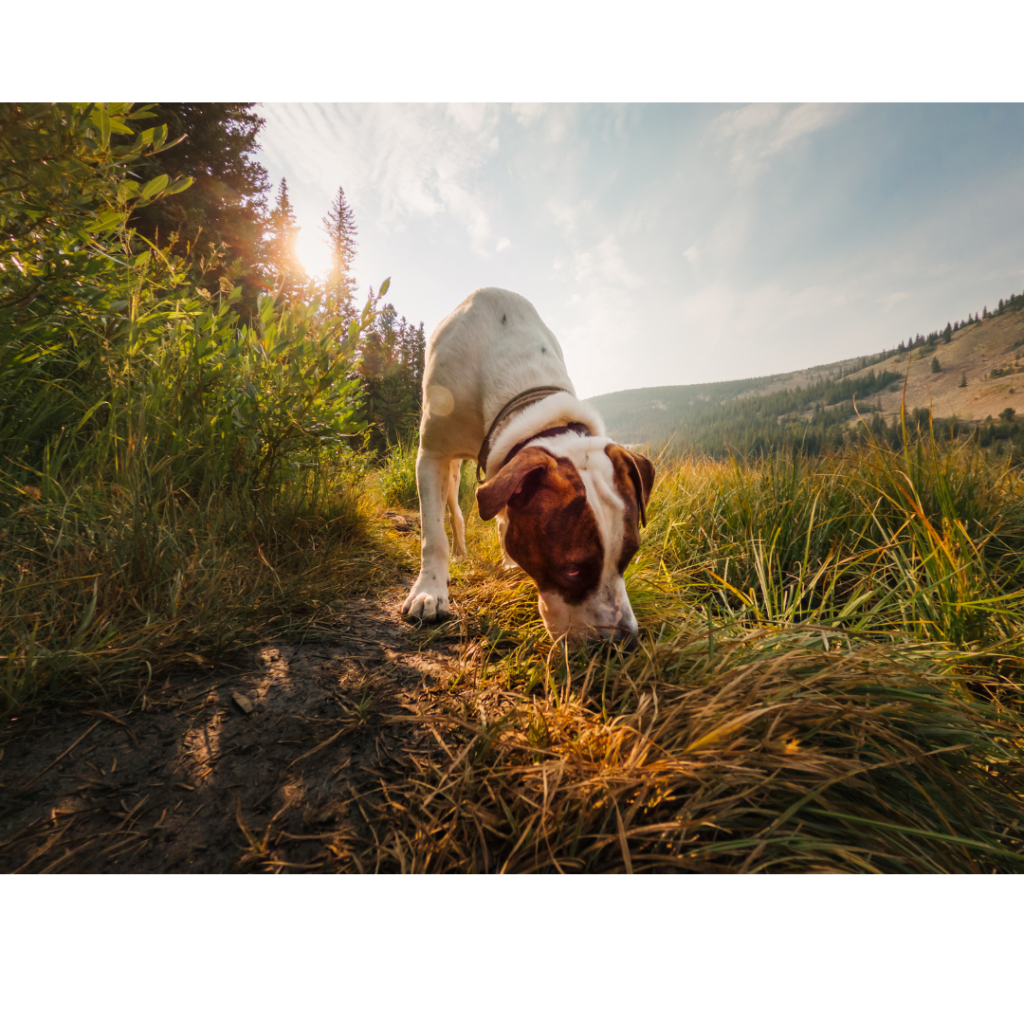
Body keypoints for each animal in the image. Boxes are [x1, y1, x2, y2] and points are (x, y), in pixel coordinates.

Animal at [401, 284, 655, 643]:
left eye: (630, 554)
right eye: (572, 570)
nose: (623, 642)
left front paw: (511, 562)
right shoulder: (431, 454)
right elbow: (433, 535)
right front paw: (430, 592)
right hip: (448, 467)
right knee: (452, 509)